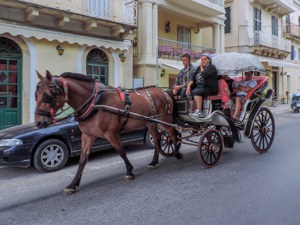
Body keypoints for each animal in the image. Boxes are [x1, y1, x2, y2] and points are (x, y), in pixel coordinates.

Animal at [35, 71, 180, 194]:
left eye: (47, 96)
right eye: (36, 94)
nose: (38, 123)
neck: (94, 102)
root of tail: (164, 92)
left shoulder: (111, 133)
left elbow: (121, 151)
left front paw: (129, 171)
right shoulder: (87, 135)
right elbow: (83, 160)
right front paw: (73, 184)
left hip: (165, 120)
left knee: (173, 134)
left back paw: (177, 153)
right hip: (150, 122)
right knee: (157, 139)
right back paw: (154, 161)